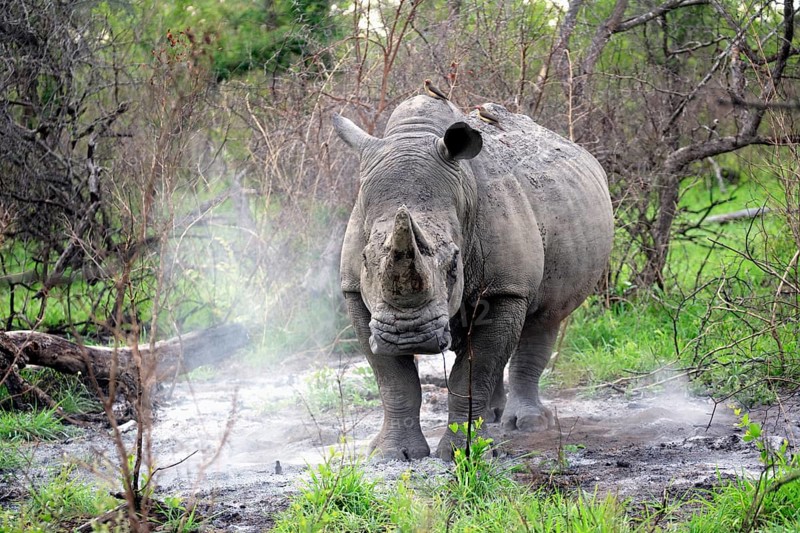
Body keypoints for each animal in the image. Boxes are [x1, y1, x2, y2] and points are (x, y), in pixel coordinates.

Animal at [333, 95, 613, 460]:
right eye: (366, 259)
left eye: (454, 262)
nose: (407, 336)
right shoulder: (356, 292)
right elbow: (394, 380)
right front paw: (393, 454)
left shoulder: (506, 289)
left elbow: (474, 372)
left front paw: (465, 453)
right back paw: (494, 417)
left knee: (543, 320)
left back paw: (525, 425)